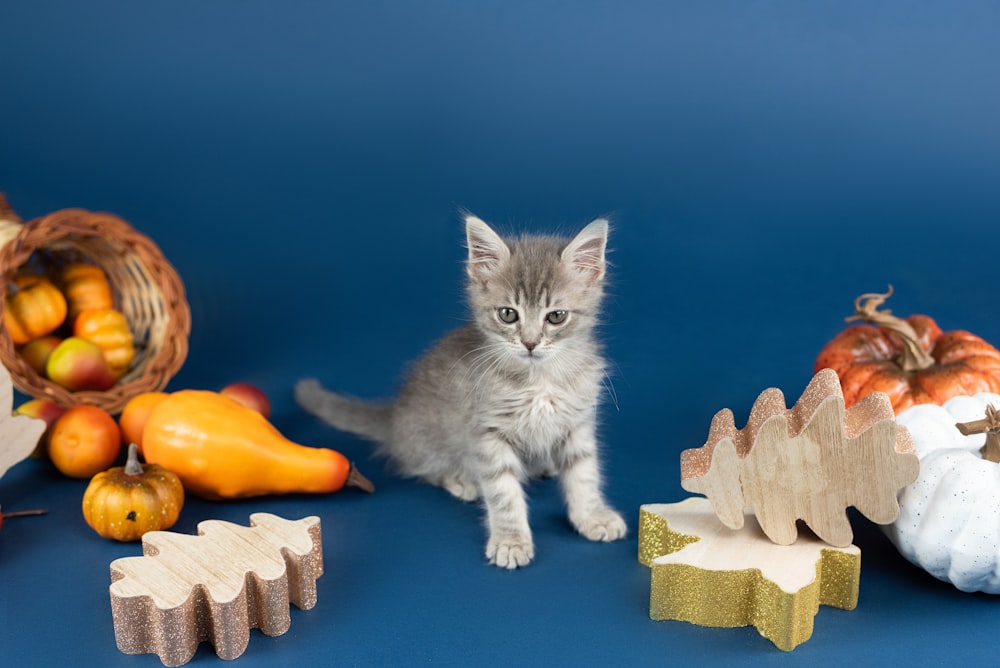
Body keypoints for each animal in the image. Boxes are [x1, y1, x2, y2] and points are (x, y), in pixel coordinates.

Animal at [294, 215, 624, 568]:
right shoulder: (487, 431)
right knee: (424, 467)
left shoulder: (577, 423)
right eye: (508, 314)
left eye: (557, 316)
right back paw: (461, 480)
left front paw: (592, 516)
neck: (539, 379)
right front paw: (511, 540)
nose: (530, 343)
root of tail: (395, 417)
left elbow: (584, 474)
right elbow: (503, 492)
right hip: (432, 439)